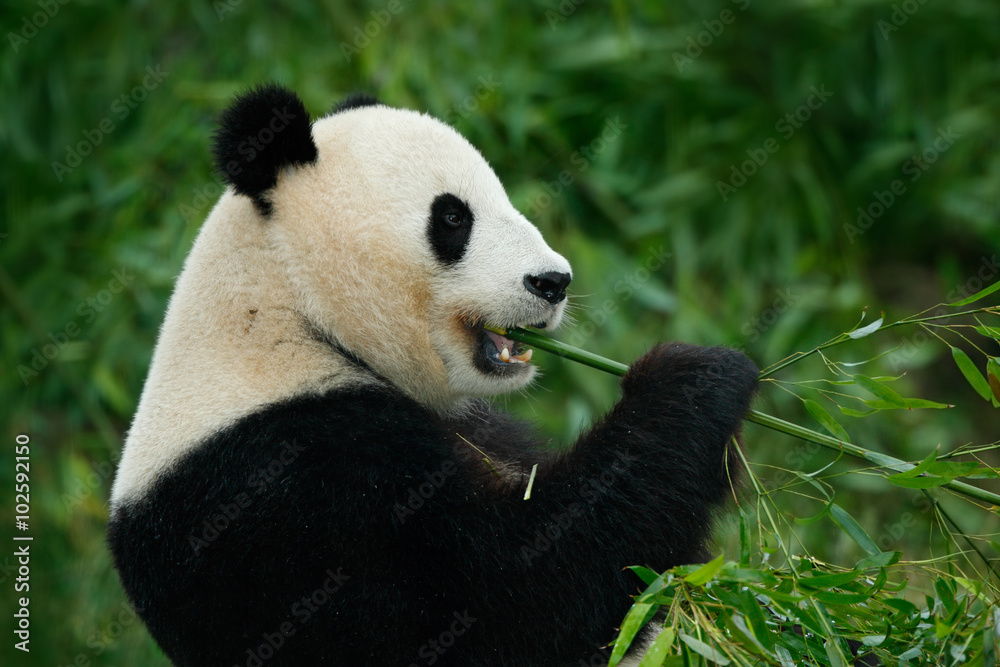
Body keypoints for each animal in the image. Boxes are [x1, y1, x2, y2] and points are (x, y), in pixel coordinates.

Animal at [107, 85, 756, 667]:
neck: (287, 309)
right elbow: (504, 602)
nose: (553, 282)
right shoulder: (284, 488)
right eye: (452, 216)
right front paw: (696, 376)